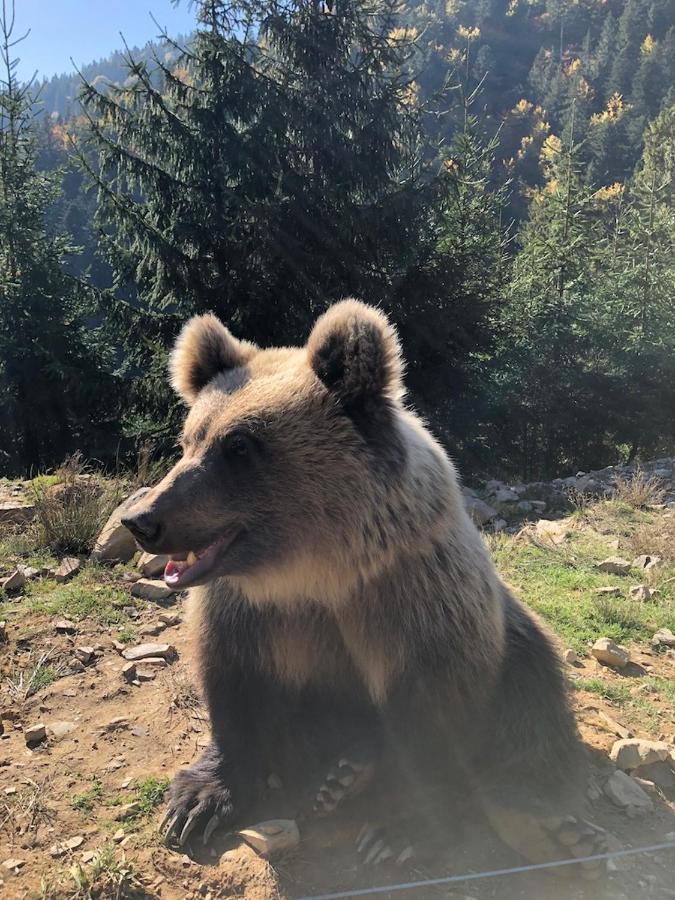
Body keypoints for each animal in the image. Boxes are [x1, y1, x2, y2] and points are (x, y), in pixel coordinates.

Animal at [121, 298, 608, 876]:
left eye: (238, 444)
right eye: (190, 438)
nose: (143, 519)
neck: (313, 571)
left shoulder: (412, 597)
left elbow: (432, 715)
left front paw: (399, 832)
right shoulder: (244, 609)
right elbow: (232, 686)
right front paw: (196, 803)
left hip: (513, 640)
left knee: (533, 696)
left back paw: (550, 829)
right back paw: (342, 775)